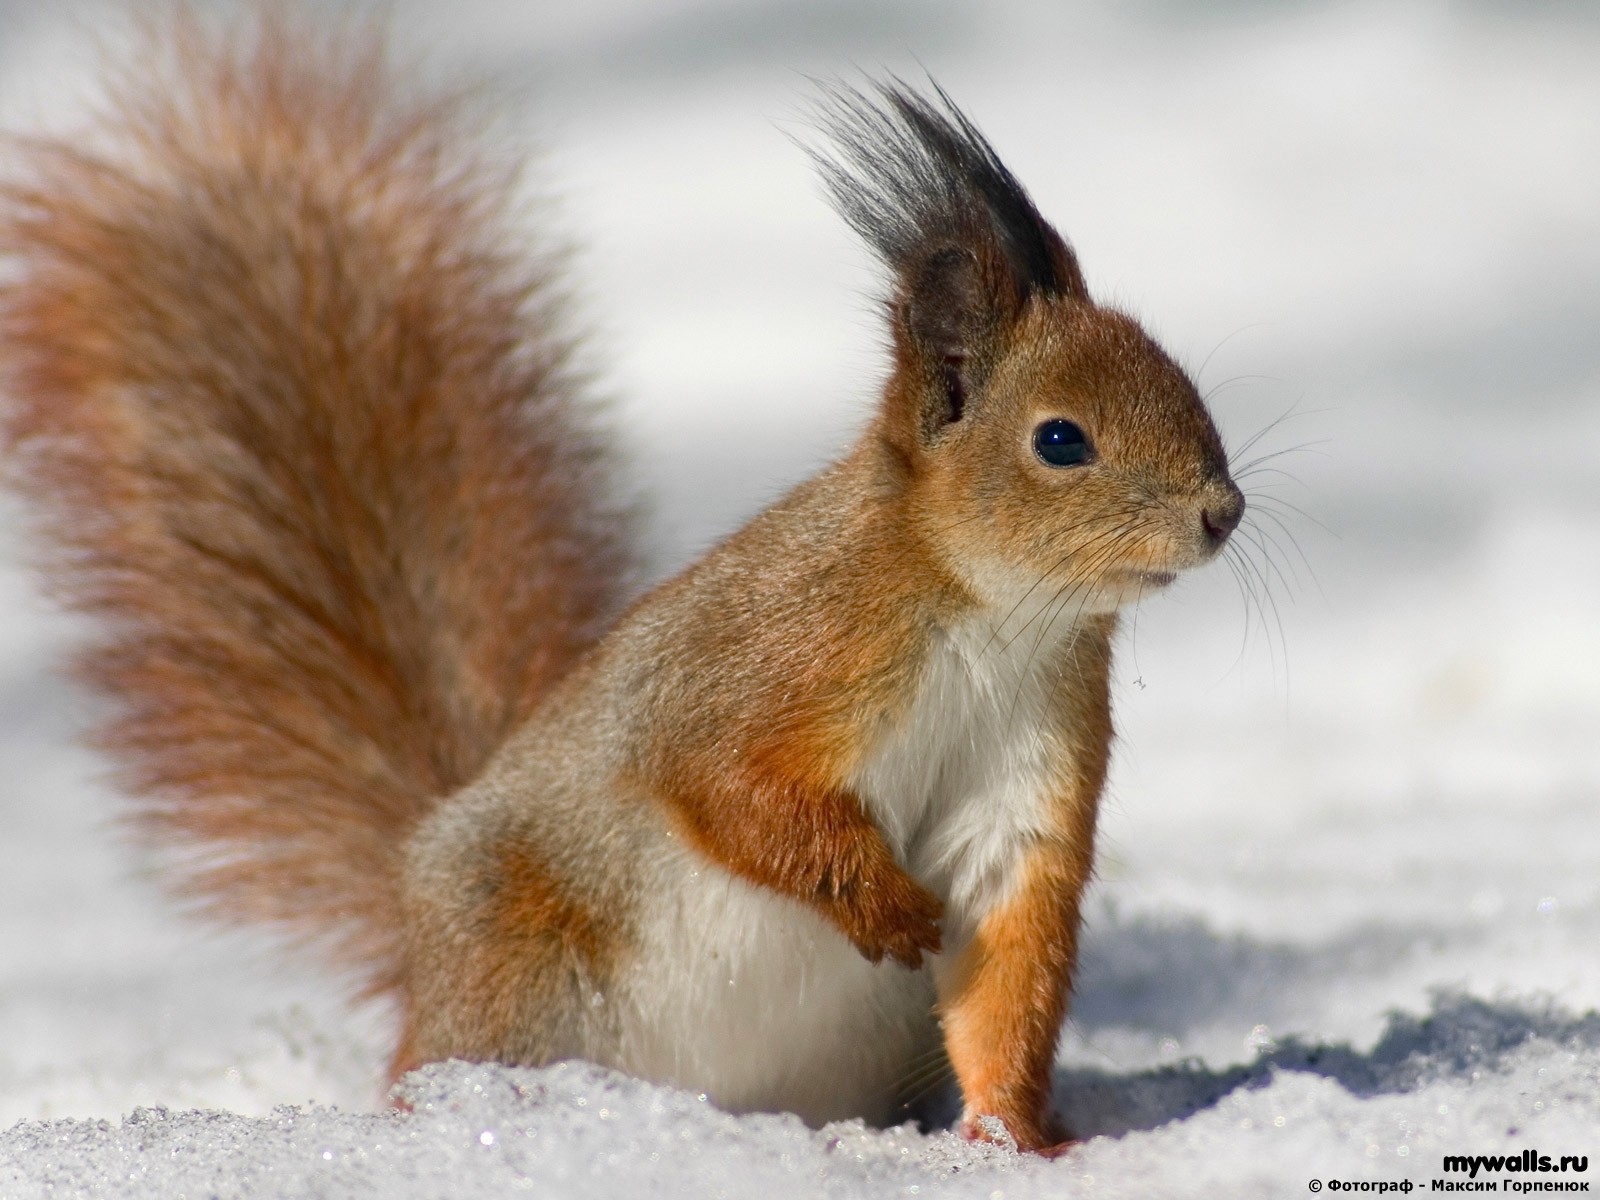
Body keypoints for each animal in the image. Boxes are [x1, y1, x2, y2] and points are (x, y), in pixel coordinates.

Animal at [0, 7, 1235, 1158]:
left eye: (1186, 385)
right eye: (1060, 441)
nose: (1221, 514)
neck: (993, 617)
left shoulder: (1029, 764)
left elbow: (1005, 953)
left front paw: (1013, 1140)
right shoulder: (771, 654)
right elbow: (722, 782)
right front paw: (879, 902)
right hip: (520, 976)